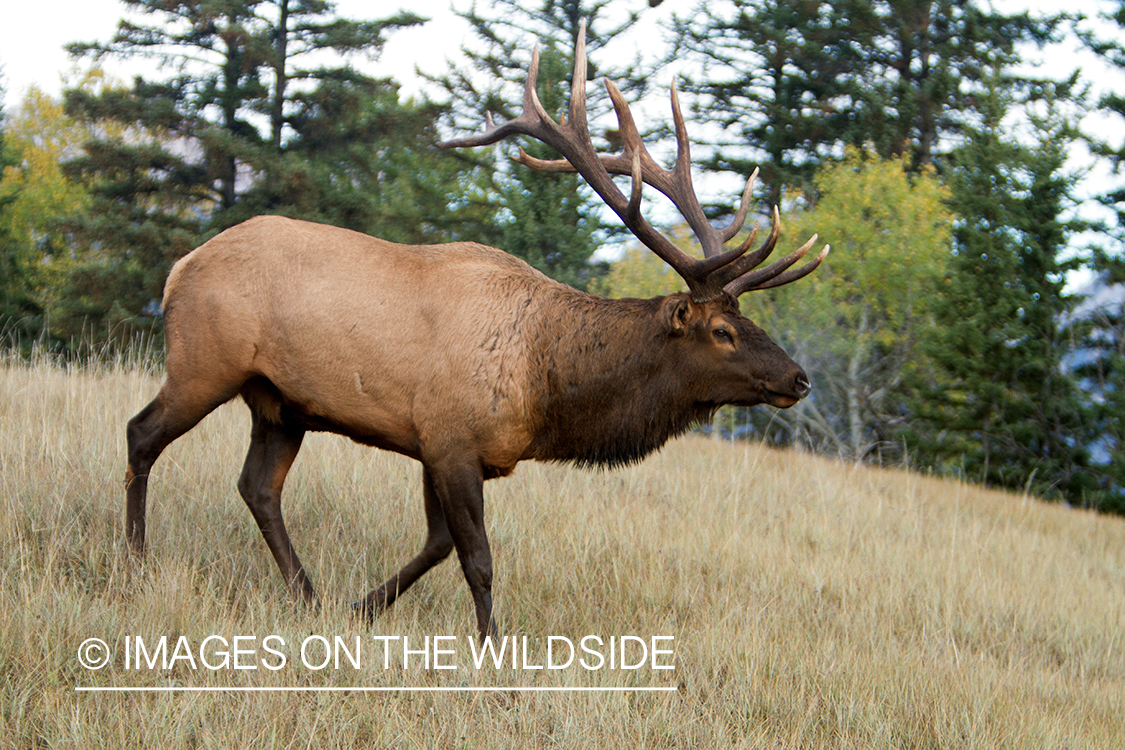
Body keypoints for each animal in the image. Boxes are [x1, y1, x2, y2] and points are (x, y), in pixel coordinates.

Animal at [125, 26, 828, 643]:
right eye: (722, 331)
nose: (799, 379)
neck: (546, 388)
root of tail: (179, 268)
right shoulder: (451, 438)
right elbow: (477, 558)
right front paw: (491, 646)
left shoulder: (452, 448)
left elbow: (438, 545)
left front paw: (359, 610)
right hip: (204, 362)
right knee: (142, 434)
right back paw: (135, 559)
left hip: (281, 402)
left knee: (258, 487)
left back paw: (307, 594)